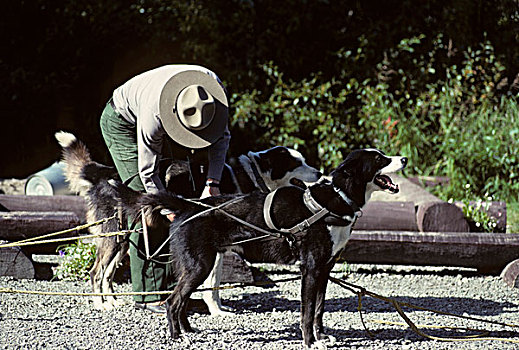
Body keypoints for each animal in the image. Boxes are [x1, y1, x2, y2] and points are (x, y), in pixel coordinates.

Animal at [52, 131, 320, 312]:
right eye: (296, 163)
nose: (319, 173)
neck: (251, 175)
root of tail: (102, 174)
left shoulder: (218, 250)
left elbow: (215, 284)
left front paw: (218, 308)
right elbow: (213, 285)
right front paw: (217, 312)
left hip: (124, 240)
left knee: (107, 273)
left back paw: (112, 300)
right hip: (114, 237)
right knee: (96, 271)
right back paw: (101, 305)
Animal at [117, 148, 406, 350]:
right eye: (379, 159)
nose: (403, 158)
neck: (333, 200)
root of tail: (188, 205)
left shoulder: (324, 270)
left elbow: (319, 310)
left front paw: (322, 336)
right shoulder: (311, 269)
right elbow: (307, 312)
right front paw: (309, 342)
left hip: (198, 267)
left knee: (181, 301)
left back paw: (188, 331)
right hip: (200, 266)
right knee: (172, 302)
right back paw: (178, 337)